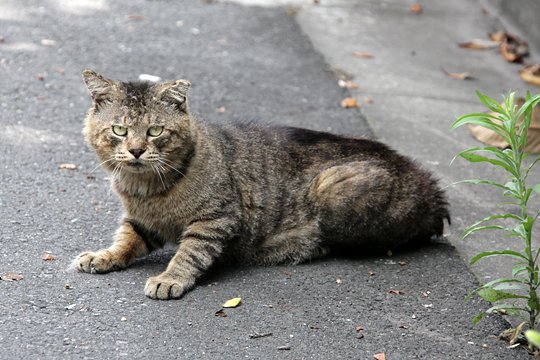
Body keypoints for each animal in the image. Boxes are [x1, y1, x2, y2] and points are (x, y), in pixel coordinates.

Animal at [73, 69, 452, 300]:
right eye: (120, 130)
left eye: (155, 131)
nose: (136, 150)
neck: (146, 189)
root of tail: (433, 188)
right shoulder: (142, 222)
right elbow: (124, 241)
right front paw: (104, 256)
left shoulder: (216, 219)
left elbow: (189, 253)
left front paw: (170, 278)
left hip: (333, 188)